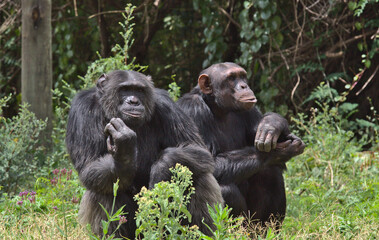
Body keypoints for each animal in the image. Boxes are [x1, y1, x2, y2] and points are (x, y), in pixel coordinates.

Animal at [66, 70, 224, 238]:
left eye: (139, 90)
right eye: (125, 89)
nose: (134, 101)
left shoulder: (166, 105)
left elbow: (196, 148)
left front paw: (160, 170)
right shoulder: (83, 109)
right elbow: (89, 165)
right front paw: (124, 150)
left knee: (199, 176)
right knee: (103, 188)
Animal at [177, 62, 306, 227]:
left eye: (242, 76)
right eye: (231, 78)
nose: (244, 86)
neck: (218, 107)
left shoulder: (248, 109)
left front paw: (272, 124)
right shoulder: (193, 110)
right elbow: (206, 163)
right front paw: (277, 152)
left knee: (270, 173)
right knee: (227, 189)